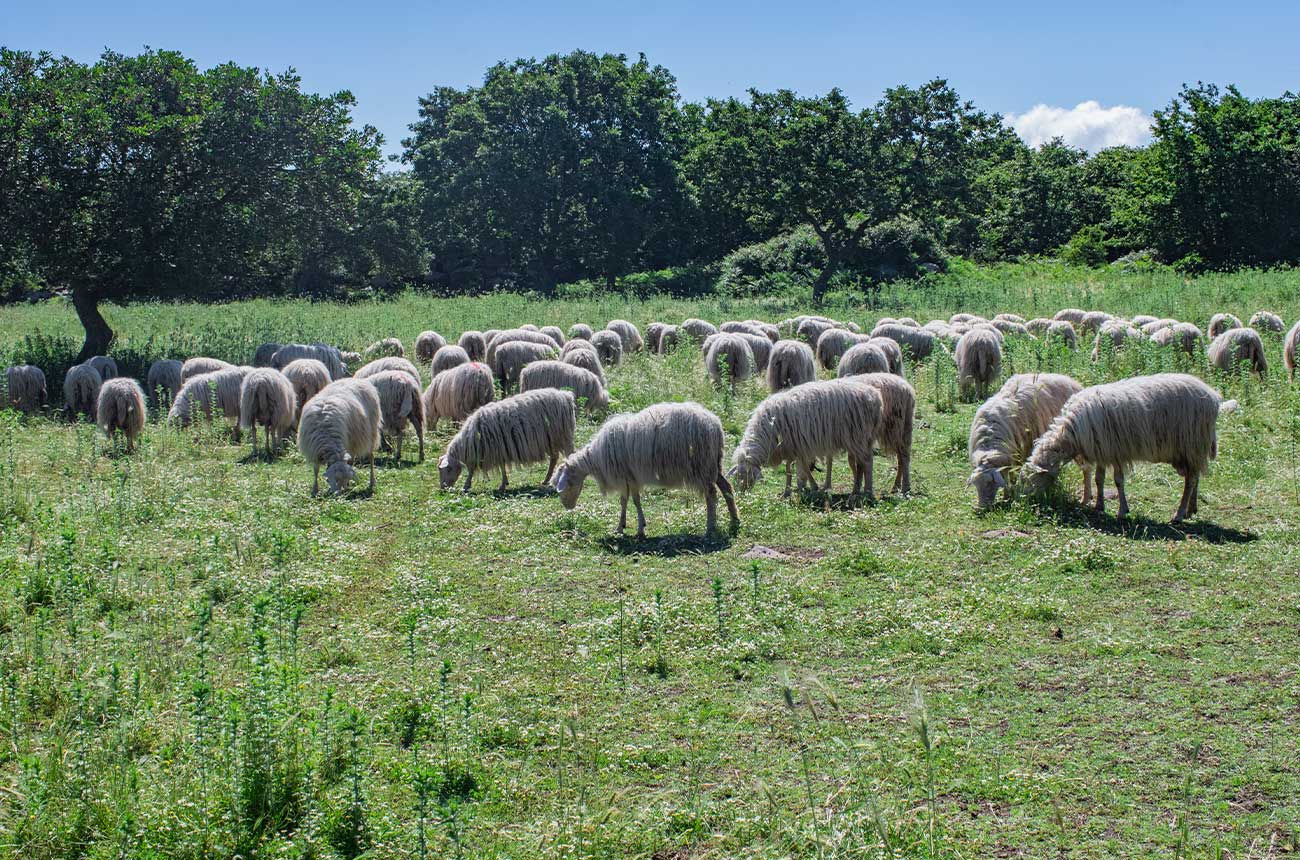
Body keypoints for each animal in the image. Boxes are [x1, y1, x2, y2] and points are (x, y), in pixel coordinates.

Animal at [438, 388, 576, 491]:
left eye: (447, 469)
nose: (443, 488)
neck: (470, 442)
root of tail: (566, 395)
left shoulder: (495, 449)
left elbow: (473, 469)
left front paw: (467, 485)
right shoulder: (499, 450)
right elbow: (502, 467)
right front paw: (504, 483)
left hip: (563, 435)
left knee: (569, 454)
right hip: (551, 439)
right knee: (554, 458)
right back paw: (546, 479)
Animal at [556, 402, 739, 538]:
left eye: (568, 483)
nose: (567, 506)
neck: (595, 459)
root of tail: (716, 424)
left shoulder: (627, 476)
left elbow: (632, 501)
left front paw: (636, 529)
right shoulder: (629, 477)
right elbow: (627, 501)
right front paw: (625, 526)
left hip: (702, 465)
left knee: (711, 495)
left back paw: (710, 526)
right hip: (713, 464)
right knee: (727, 487)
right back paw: (734, 520)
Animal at [729, 380, 883, 497]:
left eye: (745, 475)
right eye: (737, 476)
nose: (741, 494)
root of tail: (875, 396)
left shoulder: (798, 446)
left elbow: (803, 467)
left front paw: (811, 486)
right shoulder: (790, 447)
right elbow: (789, 469)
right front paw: (788, 491)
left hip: (857, 436)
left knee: (867, 462)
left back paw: (867, 491)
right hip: (861, 439)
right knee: (861, 463)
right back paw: (856, 490)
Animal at [966, 373, 1087, 509]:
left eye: (989, 483)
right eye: (976, 485)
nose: (981, 508)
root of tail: (1068, 379)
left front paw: (1008, 495)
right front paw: (1007, 495)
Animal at [1021, 373, 1236, 522]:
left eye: (1034, 479)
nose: (1026, 502)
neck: (1070, 434)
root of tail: (1214, 397)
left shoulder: (1116, 451)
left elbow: (1118, 481)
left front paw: (1121, 511)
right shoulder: (1102, 451)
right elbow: (1099, 479)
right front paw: (1099, 505)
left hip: (1192, 444)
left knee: (1191, 480)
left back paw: (1180, 513)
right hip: (1189, 451)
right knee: (1195, 476)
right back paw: (1192, 508)